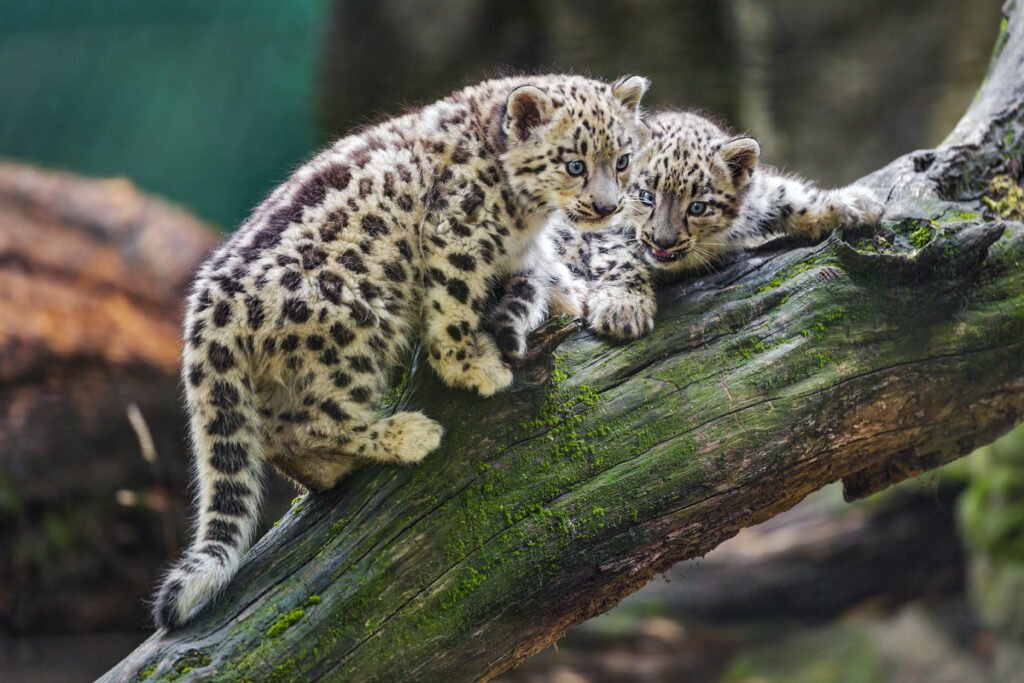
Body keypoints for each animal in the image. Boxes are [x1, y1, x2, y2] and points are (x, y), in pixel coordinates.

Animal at [151, 73, 651, 629]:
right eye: (574, 164)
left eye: (622, 159)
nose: (607, 206)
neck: (525, 215)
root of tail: (208, 303)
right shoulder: (456, 238)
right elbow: (453, 310)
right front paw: (474, 367)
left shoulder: (524, 247)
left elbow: (546, 269)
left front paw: (571, 297)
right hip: (358, 329)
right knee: (307, 420)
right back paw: (406, 435)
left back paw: (328, 470)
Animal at [487, 108, 884, 356]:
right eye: (646, 196)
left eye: (697, 207)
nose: (662, 241)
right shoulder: (592, 229)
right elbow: (620, 255)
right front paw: (624, 309)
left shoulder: (759, 199)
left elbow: (790, 195)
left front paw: (857, 204)